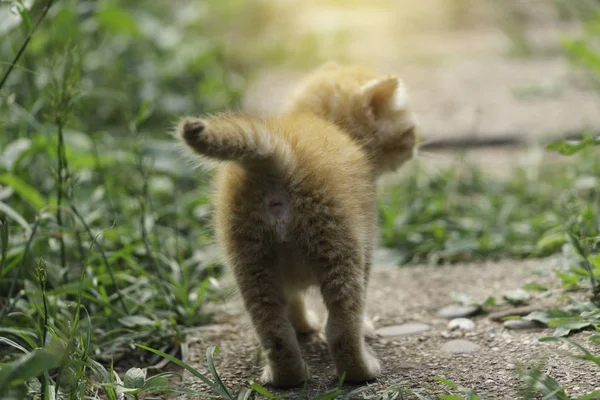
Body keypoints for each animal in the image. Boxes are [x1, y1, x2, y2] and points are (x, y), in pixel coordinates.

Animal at [176, 62, 414, 388]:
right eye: (410, 131)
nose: (415, 147)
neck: (322, 121)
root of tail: (279, 155)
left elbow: (294, 302)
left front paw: (302, 325)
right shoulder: (366, 245)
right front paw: (364, 327)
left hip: (251, 267)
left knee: (274, 332)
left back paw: (287, 377)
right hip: (340, 252)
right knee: (341, 328)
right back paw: (361, 371)